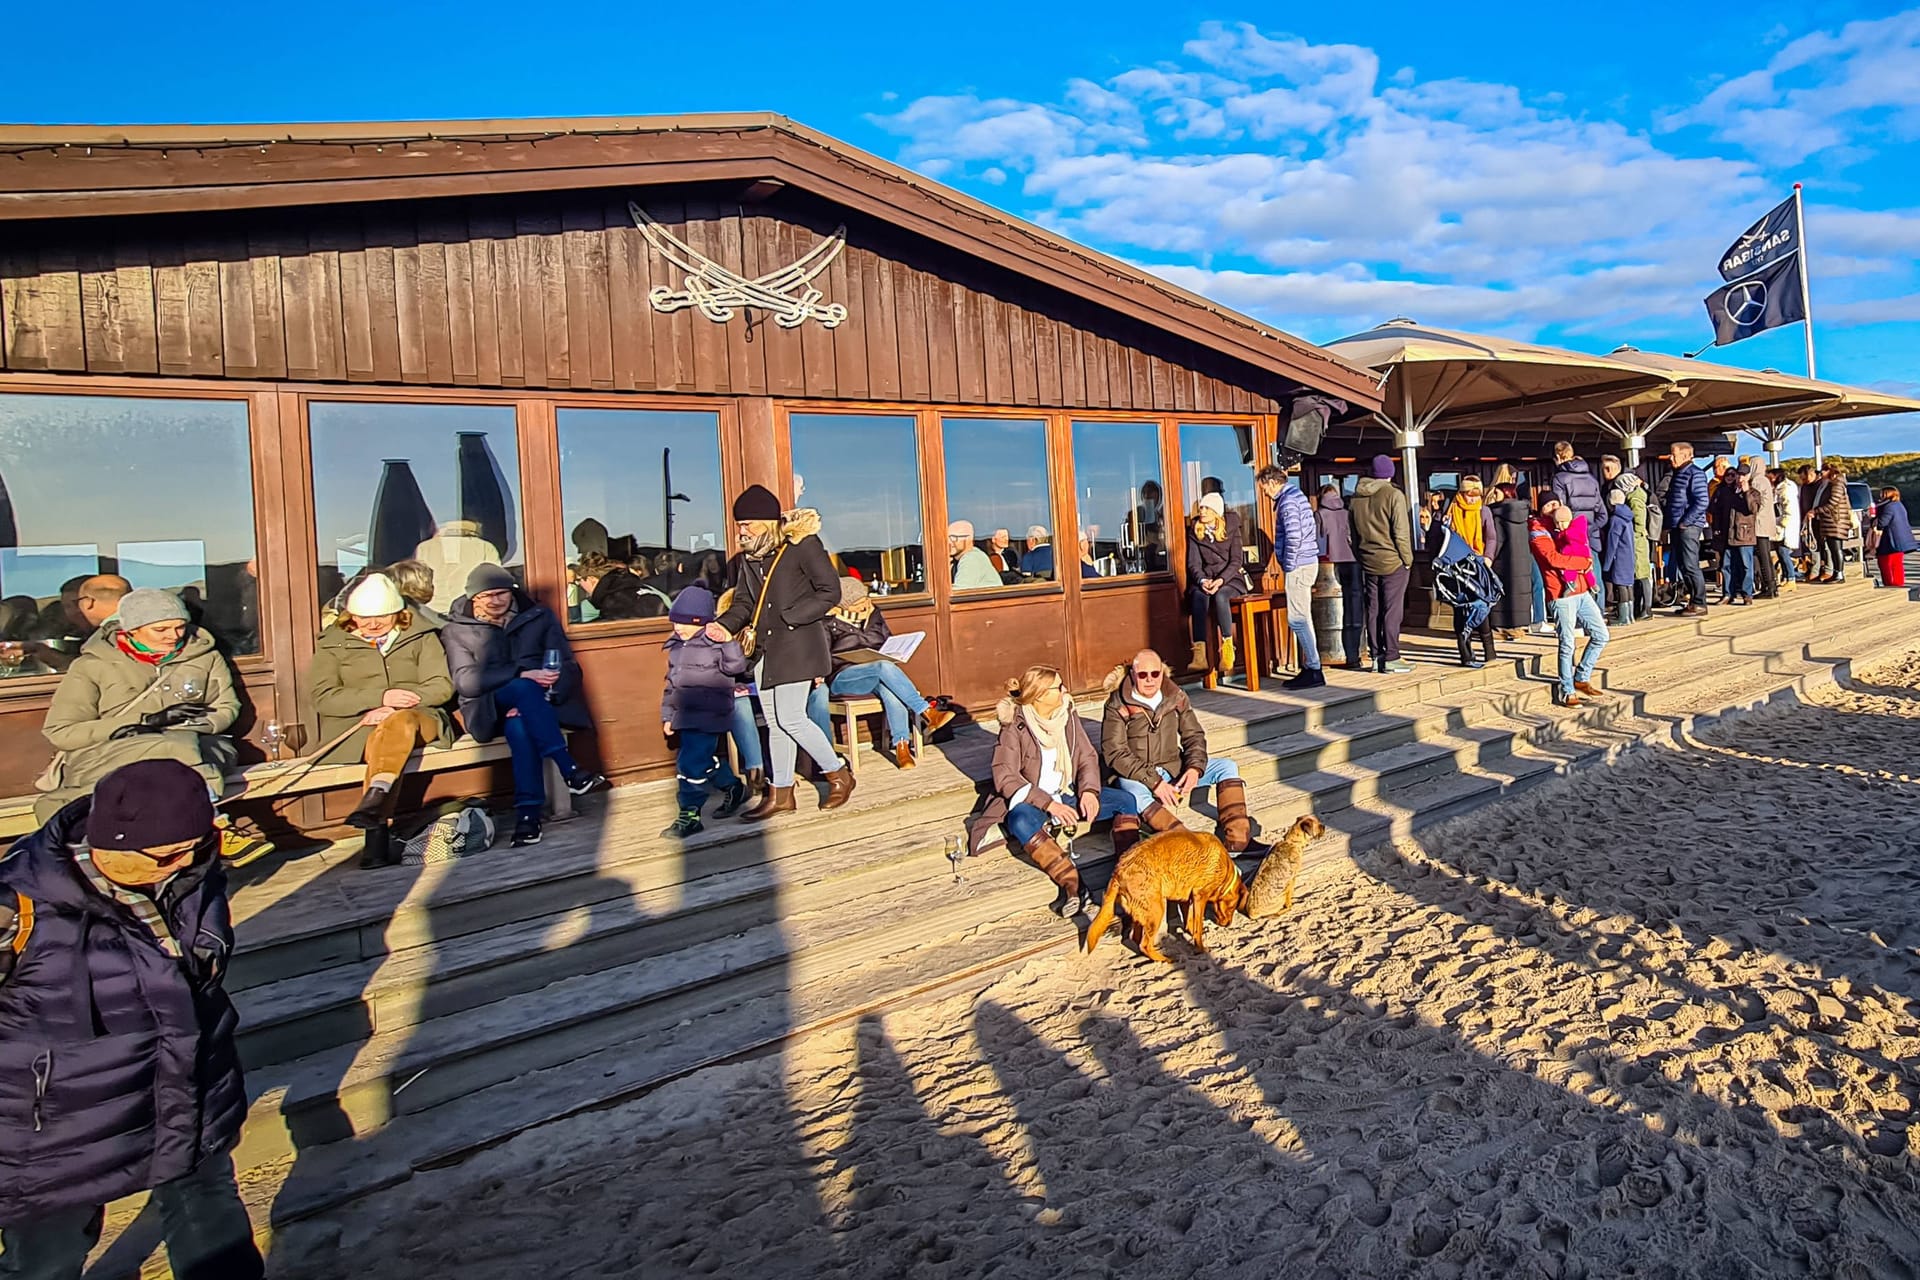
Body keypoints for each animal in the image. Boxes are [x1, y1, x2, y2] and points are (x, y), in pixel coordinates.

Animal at [1082, 832, 1244, 959]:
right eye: (1232, 907)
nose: (1229, 924)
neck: (1225, 872)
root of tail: (1118, 871)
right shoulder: (1199, 897)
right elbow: (1198, 926)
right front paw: (1200, 947)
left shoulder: (1185, 898)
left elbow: (1188, 920)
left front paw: (1190, 931)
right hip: (1157, 910)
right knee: (1145, 944)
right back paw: (1165, 960)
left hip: (1143, 912)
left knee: (1136, 938)